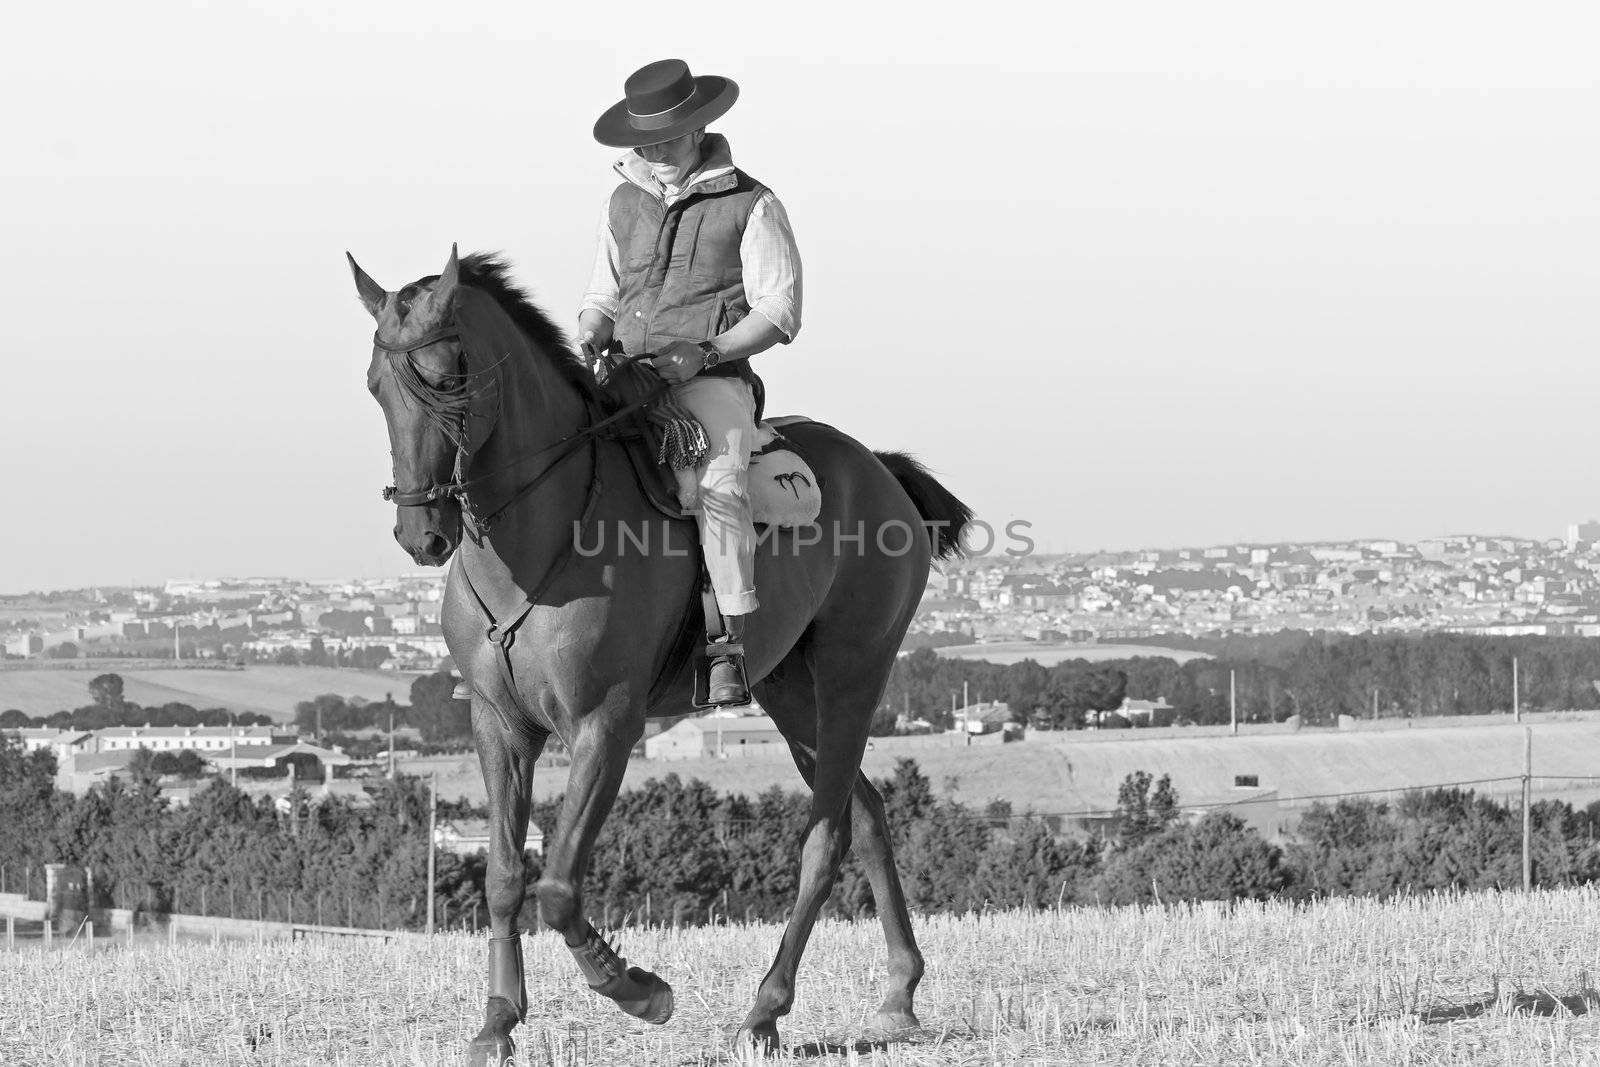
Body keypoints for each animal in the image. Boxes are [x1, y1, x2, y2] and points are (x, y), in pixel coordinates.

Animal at [350, 247, 972, 1062]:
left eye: (449, 376)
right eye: (376, 385)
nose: (421, 534)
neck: (537, 539)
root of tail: (877, 468)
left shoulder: (605, 726)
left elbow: (557, 884)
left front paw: (638, 989)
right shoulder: (498, 728)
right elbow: (504, 876)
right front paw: (497, 1021)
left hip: (851, 675)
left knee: (827, 834)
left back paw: (764, 1011)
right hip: (788, 691)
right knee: (864, 814)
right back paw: (899, 993)